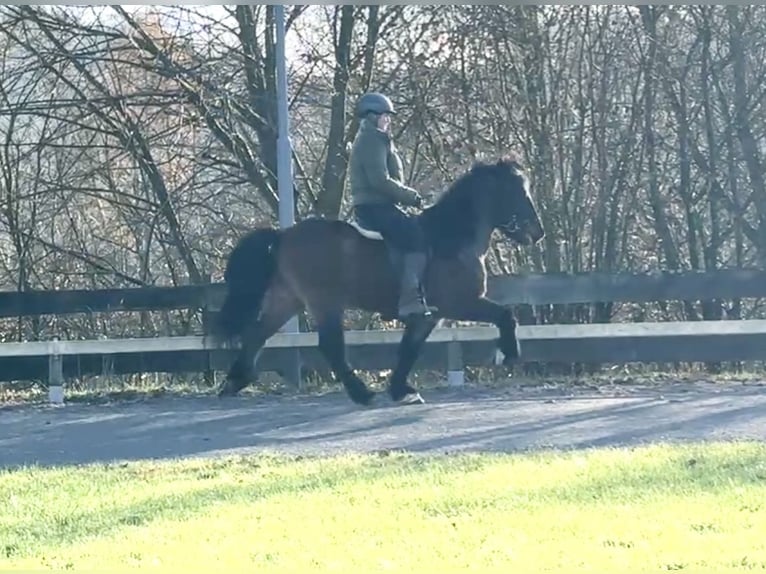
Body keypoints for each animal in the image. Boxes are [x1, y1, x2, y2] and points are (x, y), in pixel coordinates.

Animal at [212, 156, 545, 406]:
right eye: (517, 191)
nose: (537, 232)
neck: (452, 239)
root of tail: (283, 235)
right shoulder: (460, 304)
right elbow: (505, 315)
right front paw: (508, 353)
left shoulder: (429, 316)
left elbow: (409, 350)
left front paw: (401, 390)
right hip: (323, 301)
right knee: (329, 345)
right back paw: (361, 393)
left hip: (288, 299)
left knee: (257, 333)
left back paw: (236, 380)